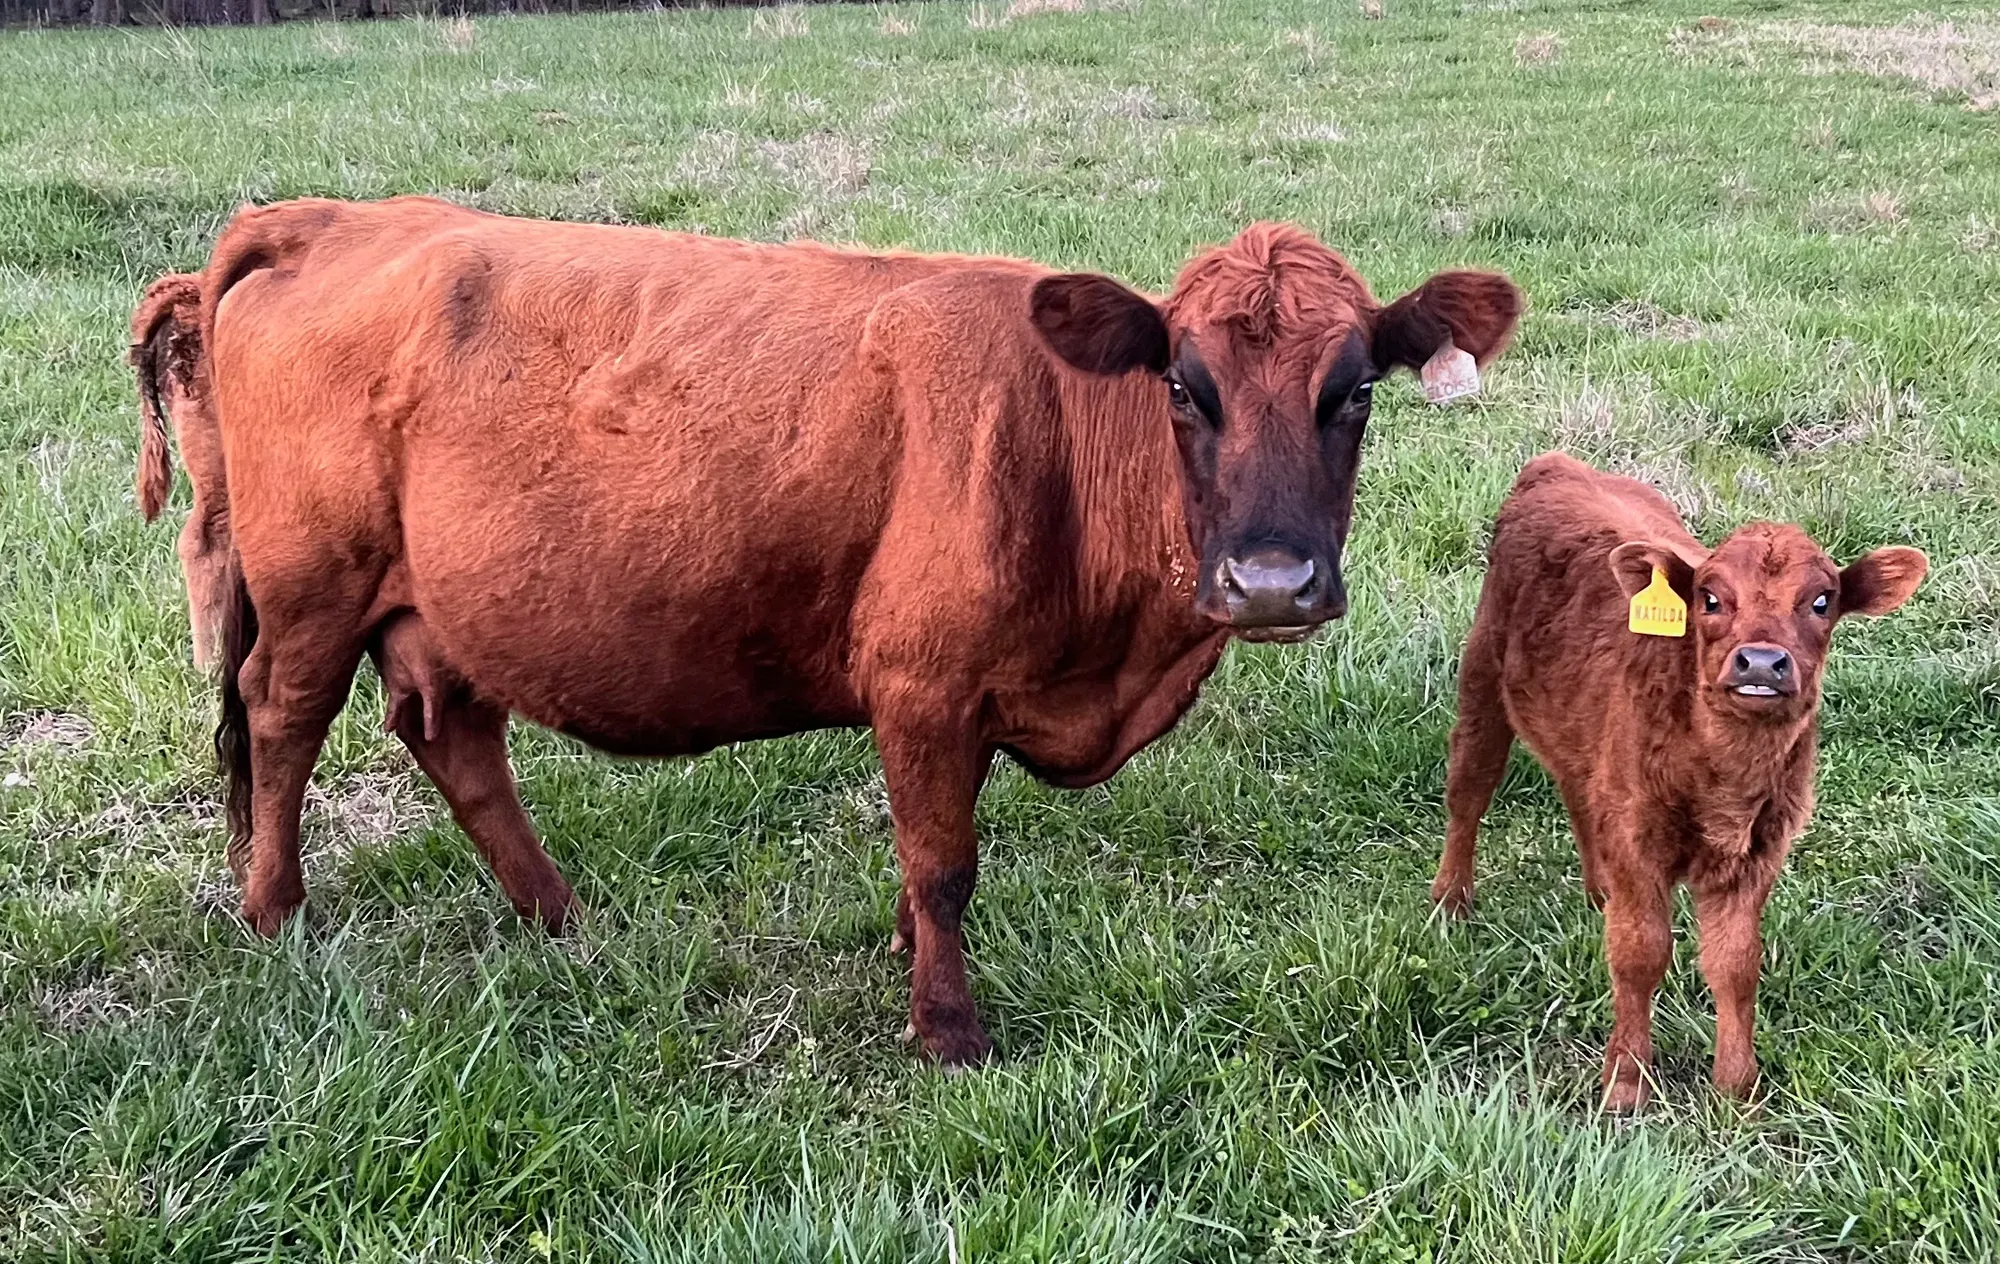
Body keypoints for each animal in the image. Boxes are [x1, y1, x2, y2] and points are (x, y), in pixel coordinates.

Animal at [134, 196, 1523, 1064]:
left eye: (1354, 392)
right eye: (1185, 387)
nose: (1272, 580)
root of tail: (324, 217)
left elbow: (926, 857)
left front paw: (912, 961)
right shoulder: (918, 682)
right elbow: (944, 860)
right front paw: (948, 1031)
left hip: (436, 606)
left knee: (451, 736)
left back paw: (559, 918)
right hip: (314, 584)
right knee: (281, 722)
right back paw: (275, 913)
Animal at [1430, 452, 1927, 1109]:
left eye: (1822, 602)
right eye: (1710, 599)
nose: (1761, 662)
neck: (1724, 779)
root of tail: (1558, 464)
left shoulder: (1760, 848)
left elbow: (1736, 962)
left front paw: (1738, 1085)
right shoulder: (1638, 837)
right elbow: (1640, 953)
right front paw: (1626, 1082)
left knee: (1576, 791)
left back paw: (1598, 893)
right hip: (1482, 673)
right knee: (1469, 788)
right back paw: (1450, 900)